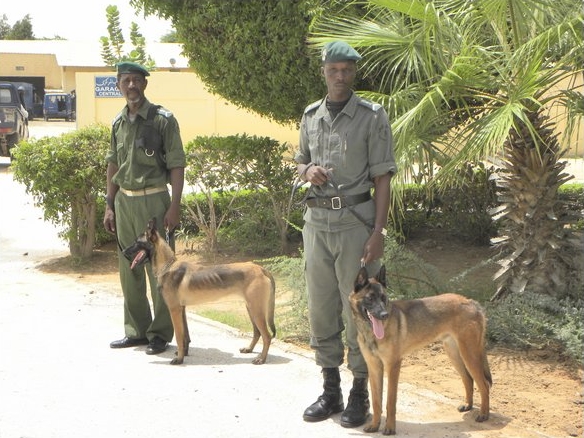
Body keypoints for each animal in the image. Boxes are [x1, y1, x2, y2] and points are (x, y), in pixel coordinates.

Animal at [122, 219, 276, 366]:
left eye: (137, 242)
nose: (123, 252)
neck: (168, 266)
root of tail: (261, 269)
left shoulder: (174, 310)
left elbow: (178, 336)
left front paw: (179, 359)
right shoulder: (182, 310)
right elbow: (185, 336)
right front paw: (183, 354)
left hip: (256, 310)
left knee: (267, 336)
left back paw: (261, 359)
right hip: (251, 309)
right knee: (257, 332)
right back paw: (249, 349)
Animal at [350, 266, 490, 436]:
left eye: (383, 298)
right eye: (370, 298)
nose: (384, 315)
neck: (370, 331)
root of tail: (471, 302)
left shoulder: (393, 366)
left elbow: (390, 401)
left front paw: (390, 428)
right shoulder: (374, 367)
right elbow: (377, 401)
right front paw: (375, 425)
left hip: (470, 355)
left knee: (484, 385)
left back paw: (484, 414)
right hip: (455, 355)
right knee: (468, 379)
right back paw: (468, 405)